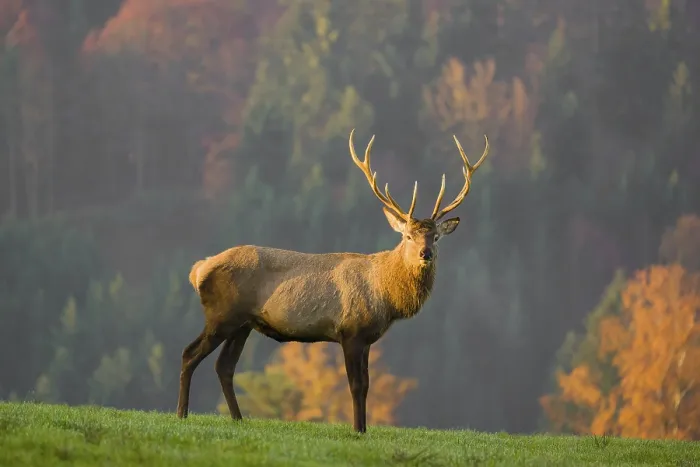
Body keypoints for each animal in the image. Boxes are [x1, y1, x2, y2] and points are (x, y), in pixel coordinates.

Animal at [177, 129, 490, 433]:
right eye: (408, 236)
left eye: (435, 237)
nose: (426, 254)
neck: (385, 297)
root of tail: (199, 269)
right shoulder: (350, 330)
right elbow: (356, 385)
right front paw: (358, 430)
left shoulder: (367, 338)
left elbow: (367, 385)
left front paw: (364, 429)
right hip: (222, 314)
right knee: (190, 353)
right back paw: (182, 414)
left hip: (243, 323)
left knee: (224, 366)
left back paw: (238, 419)